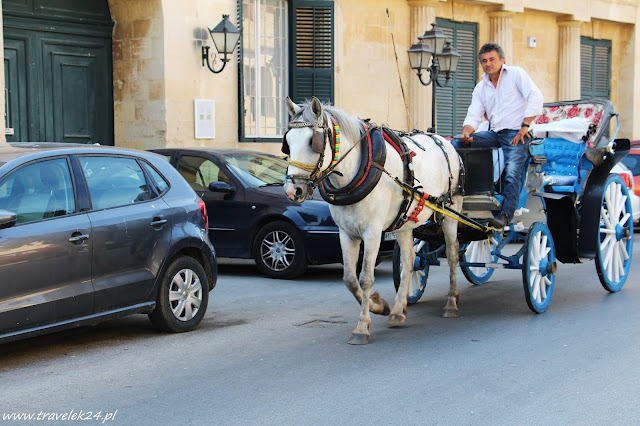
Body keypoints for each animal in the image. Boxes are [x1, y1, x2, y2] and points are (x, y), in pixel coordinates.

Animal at [284, 95, 460, 344]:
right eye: (288, 142)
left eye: (312, 141)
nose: (293, 190)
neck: (353, 175)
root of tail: (442, 139)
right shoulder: (346, 233)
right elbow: (350, 278)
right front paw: (380, 306)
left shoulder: (373, 232)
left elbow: (366, 277)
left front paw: (361, 327)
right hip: (404, 223)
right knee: (409, 260)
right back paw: (397, 310)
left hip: (450, 213)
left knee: (453, 255)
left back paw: (451, 303)